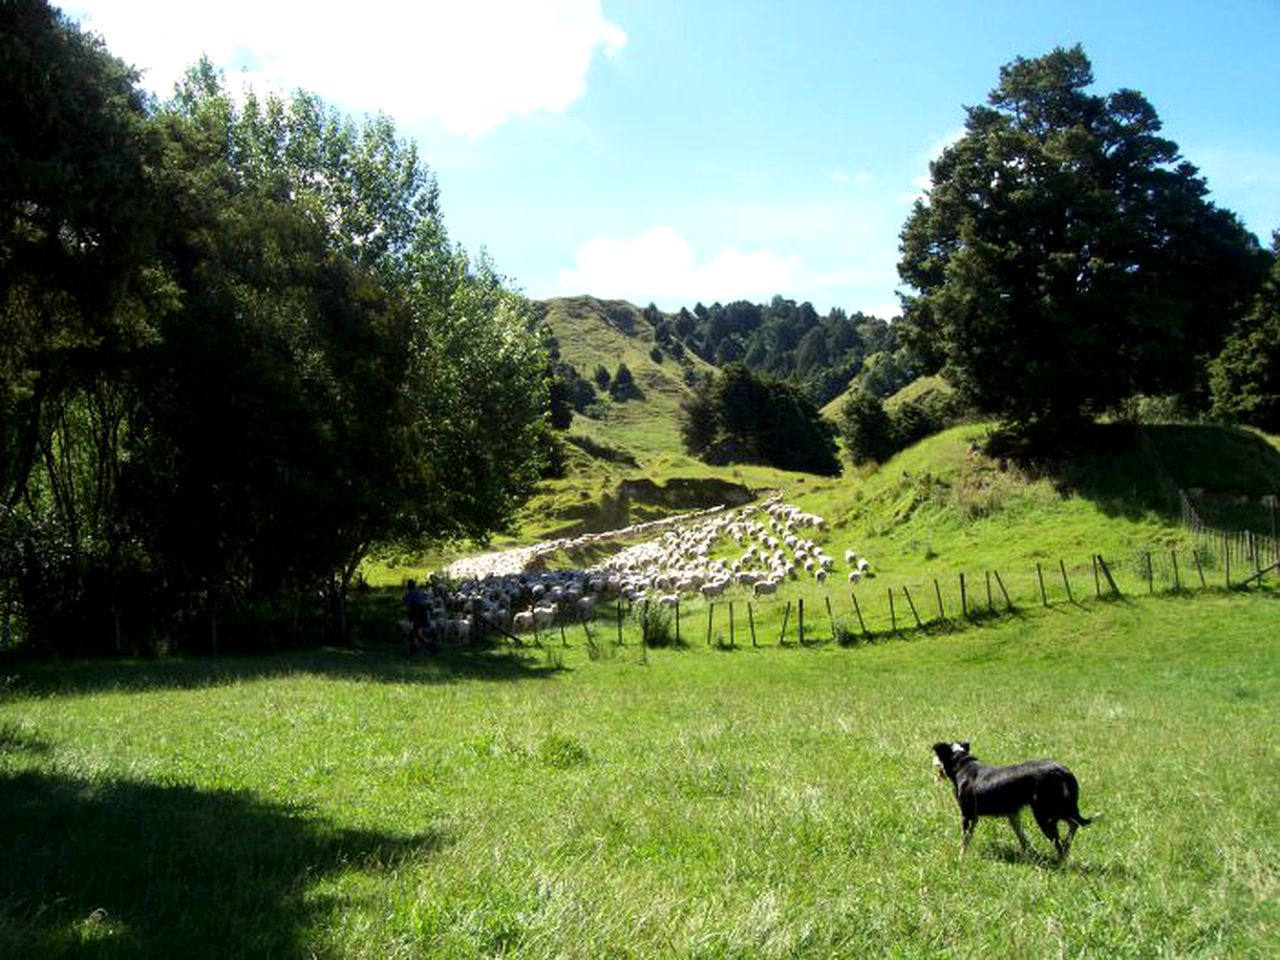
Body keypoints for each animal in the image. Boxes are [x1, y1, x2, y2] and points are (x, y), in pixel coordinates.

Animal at [926, 742, 1095, 860]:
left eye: (938, 756)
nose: (932, 760)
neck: (963, 765)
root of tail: (1062, 771)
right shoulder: (1012, 814)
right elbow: (1022, 837)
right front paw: (1030, 854)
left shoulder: (968, 815)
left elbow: (965, 840)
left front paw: (960, 857)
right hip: (1058, 808)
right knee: (1073, 824)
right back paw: (1066, 847)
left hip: (1045, 814)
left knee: (1060, 839)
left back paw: (1060, 860)